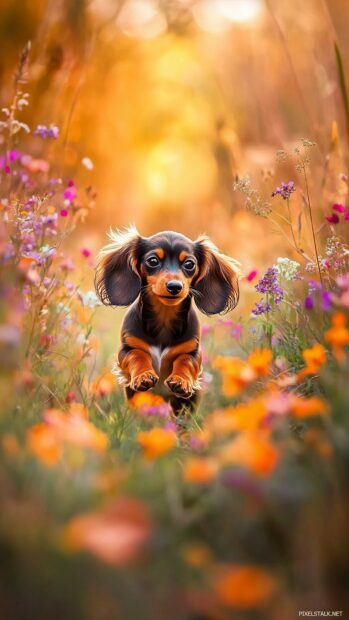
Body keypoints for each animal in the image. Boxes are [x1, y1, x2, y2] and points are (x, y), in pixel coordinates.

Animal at [94, 225, 238, 414]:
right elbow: (137, 355)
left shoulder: (192, 352)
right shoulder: (127, 348)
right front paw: (143, 376)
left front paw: (181, 381)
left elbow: (185, 361)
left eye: (189, 264)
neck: (164, 317)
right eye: (153, 261)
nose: (175, 287)